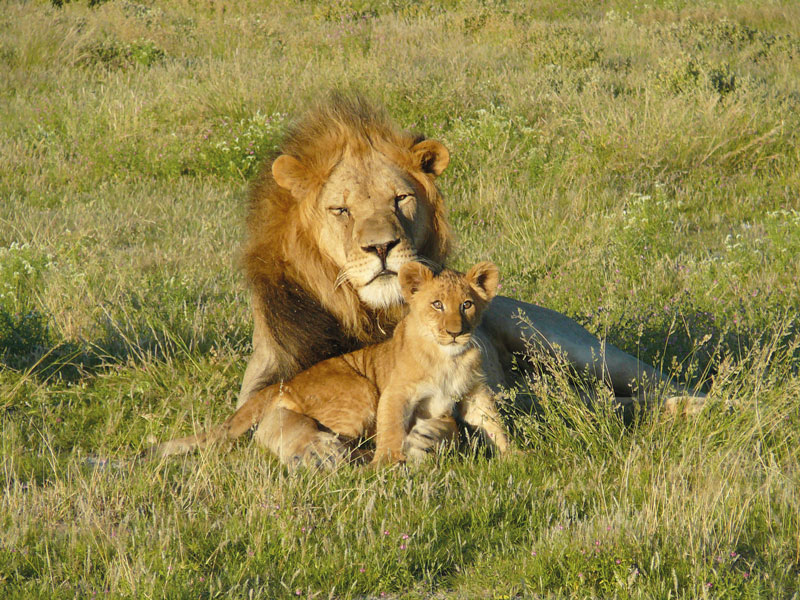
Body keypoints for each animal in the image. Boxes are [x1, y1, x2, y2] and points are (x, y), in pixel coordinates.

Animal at [155, 261, 509, 467]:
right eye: (437, 304)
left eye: (466, 305)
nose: (456, 332)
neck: (449, 357)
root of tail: (286, 382)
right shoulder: (394, 394)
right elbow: (392, 430)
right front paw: (387, 467)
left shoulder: (474, 394)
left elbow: (494, 425)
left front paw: (515, 459)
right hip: (361, 395)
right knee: (334, 438)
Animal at [236, 93, 703, 465]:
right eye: (341, 210)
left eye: (400, 199)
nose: (382, 247)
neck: (370, 315)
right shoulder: (265, 383)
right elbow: (271, 420)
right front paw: (315, 449)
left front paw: (425, 439)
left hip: (573, 346)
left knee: (661, 380)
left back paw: (705, 405)